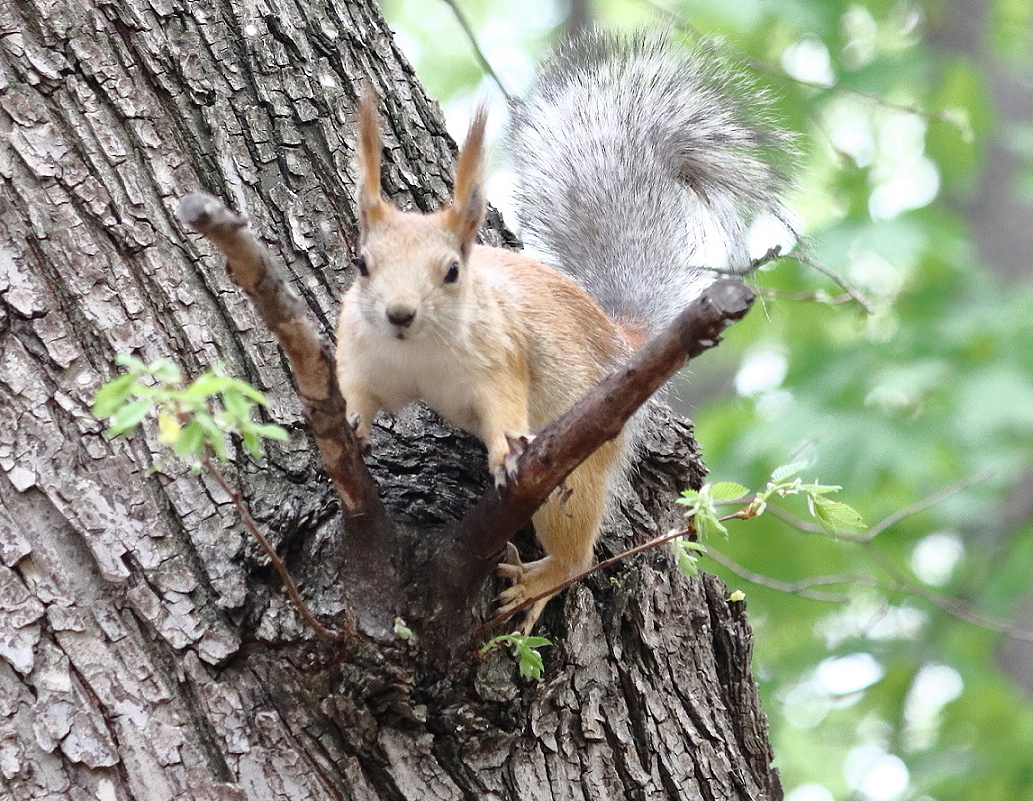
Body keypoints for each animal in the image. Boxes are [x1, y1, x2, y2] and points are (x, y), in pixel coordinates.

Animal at [334, 29, 785, 632]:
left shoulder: (500, 357)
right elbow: (358, 393)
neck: (418, 352)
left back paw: (539, 580)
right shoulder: (359, 352)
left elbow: (504, 401)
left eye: (453, 270)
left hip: (580, 468)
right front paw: (352, 425)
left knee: (577, 550)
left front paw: (504, 455)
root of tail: (620, 344)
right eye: (362, 264)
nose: (400, 314)